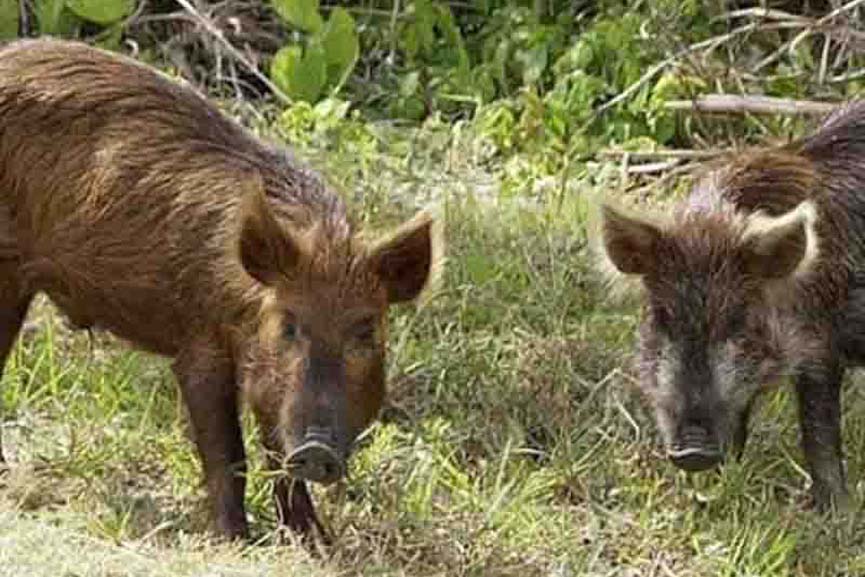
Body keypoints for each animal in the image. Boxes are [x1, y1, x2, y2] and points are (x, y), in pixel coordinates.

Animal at [0, 39, 440, 540]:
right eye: (288, 325)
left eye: (366, 332)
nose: (316, 450)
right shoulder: (200, 344)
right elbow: (229, 454)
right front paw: (235, 540)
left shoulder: (267, 380)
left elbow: (275, 451)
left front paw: (315, 541)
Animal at [597, 102, 865, 510]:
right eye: (661, 316)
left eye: (739, 319)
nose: (693, 450)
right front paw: (712, 494)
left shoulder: (820, 346)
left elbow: (818, 431)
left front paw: (834, 510)